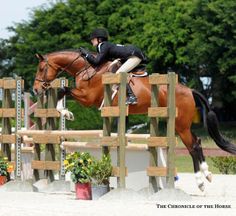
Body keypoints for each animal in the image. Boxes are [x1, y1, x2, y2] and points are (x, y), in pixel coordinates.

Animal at [32, 50, 236, 191]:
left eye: (41, 68)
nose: (35, 89)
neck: (87, 68)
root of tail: (189, 90)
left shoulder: (88, 98)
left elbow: (63, 90)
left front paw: (66, 112)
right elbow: (63, 91)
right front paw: (65, 112)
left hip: (180, 125)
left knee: (192, 146)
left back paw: (201, 181)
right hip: (183, 124)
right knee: (198, 142)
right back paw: (207, 174)